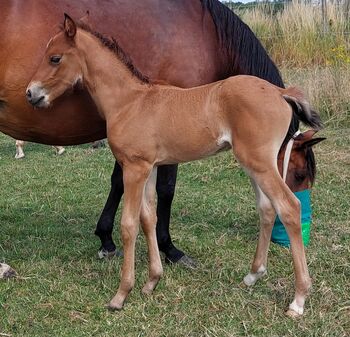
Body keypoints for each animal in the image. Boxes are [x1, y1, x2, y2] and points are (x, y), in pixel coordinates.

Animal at [26, 15, 322, 316]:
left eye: (54, 58)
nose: (31, 93)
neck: (129, 102)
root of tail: (280, 92)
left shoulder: (134, 168)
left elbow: (129, 224)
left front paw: (121, 294)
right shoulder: (149, 167)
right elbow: (149, 218)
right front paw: (151, 282)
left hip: (259, 162)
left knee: (289, 207)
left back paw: (298, 299)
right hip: (254, 164)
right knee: (266, 208)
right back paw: (253, 275)